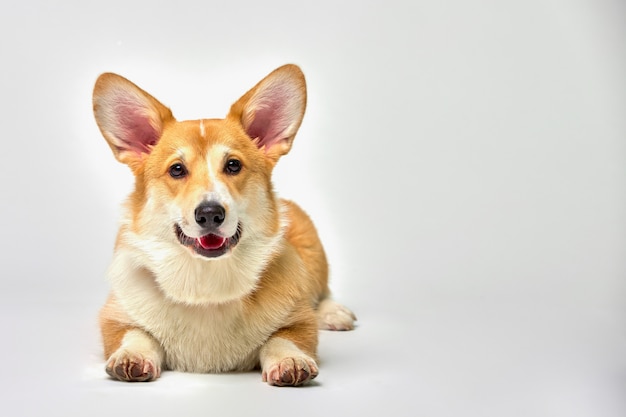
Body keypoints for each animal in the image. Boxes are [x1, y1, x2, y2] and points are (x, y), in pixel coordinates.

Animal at [92, 63, 356, 386]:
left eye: (233, 165)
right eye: (176, 169)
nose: (209, 213)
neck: (207, 281)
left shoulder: (299, 321)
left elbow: (283, 338)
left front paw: (290, 360)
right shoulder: (115, 318)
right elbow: (135, 334)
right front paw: (131, 356)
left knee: (322, 292)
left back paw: (335, 313)